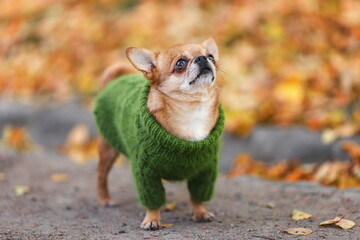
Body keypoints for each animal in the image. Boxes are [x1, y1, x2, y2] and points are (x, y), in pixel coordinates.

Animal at [96, 38, 225, 231]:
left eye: (211, 57)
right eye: (180, 63)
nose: (203, 58)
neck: (192, 110)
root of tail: (113, 82)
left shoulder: (205, 171)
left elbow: (196, 196)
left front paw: (201, 212)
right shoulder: (145, 173)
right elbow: (152, 199)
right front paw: (152, 219)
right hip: (108, 150)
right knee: (101, 175)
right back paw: (104, 199)